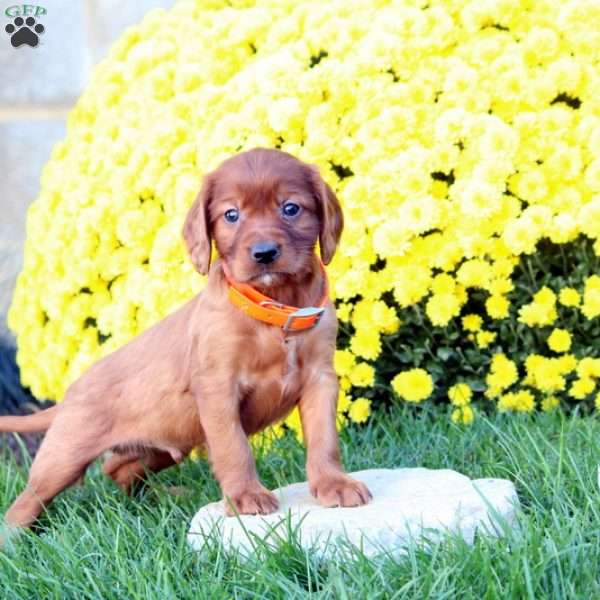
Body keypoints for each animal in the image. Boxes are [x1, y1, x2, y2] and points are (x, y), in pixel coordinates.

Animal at [0, 146, 370, 540]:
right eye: (231, 215)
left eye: (291, 208)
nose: (265, 253)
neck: (273, 309)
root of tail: (69, 394)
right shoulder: (217, 389)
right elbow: (233, 447)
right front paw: (245, 497)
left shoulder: (319, 379)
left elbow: (324, 439)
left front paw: (334, 484)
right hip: (64, 455)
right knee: (26, 501)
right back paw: (16, 540)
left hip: (160, 443)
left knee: (117, 467)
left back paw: (160, 499)